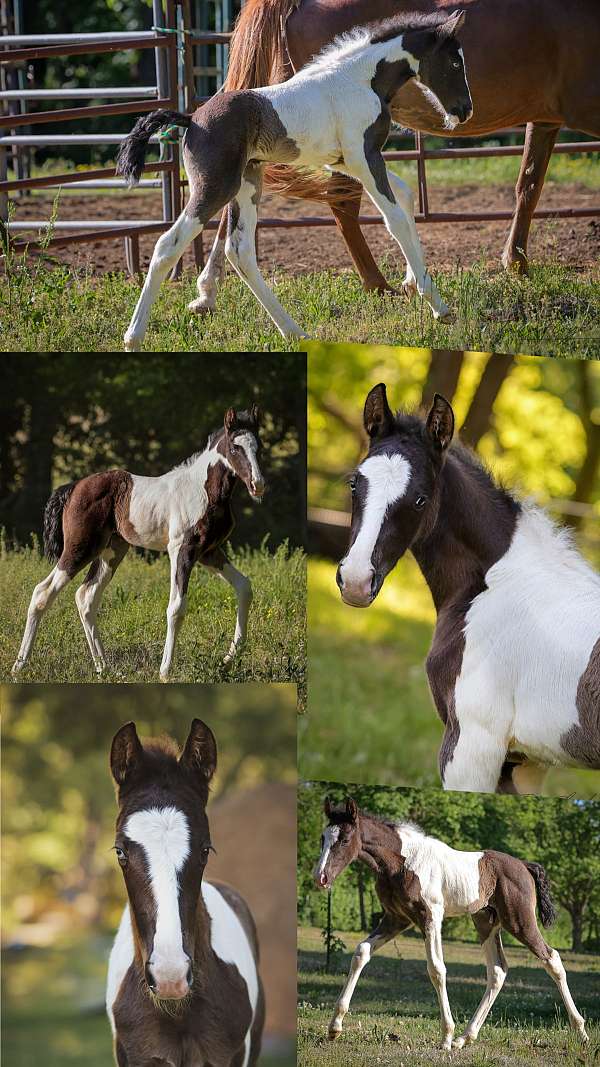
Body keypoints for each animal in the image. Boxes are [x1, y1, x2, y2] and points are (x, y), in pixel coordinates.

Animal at [11, 406, 265, 680]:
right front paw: (165, 672)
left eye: (258, 447)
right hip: (80, 549)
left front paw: (228, 661)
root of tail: (74, 486)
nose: (258, 485)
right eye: (235, 447)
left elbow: (245, 588)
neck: (204, 490)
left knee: (86, 597)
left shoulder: (209, 552)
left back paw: (104, 668)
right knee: (43, 592)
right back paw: (19, 666)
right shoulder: (181, 550)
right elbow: (176, 607)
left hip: (110, 552)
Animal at [116, 10, 473, 350]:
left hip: (247, 184)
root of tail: (191, 119)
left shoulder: (349, 162)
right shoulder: (363, 158)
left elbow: (407, 195)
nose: (465, 111)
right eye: (455, 62)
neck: (360, 79)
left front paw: (412, 282)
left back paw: (293, 332)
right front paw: (438, 306)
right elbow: (394, 218)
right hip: (214, 188)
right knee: (168, 246)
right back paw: (133, 338)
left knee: (240, 250)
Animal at [313, 797, 588, 1051]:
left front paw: (445, 1036)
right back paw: (465, 1038)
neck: (403, 862)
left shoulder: (431, 916)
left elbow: (436, 969)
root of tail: (524, 865)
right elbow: (361, 952)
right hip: (486, 923)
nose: (320, 877)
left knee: (552, 959)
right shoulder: (396, 919)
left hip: (520, 921)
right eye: (323, 838)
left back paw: (581, 1032)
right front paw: (334, 1028)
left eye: (344, 840)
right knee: (498, 971)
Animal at [336, 384, 600, 794]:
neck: (491, 586)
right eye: (355, 483)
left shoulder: (473, 745)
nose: (356, 581)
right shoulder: (526, 761)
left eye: (420, 498)